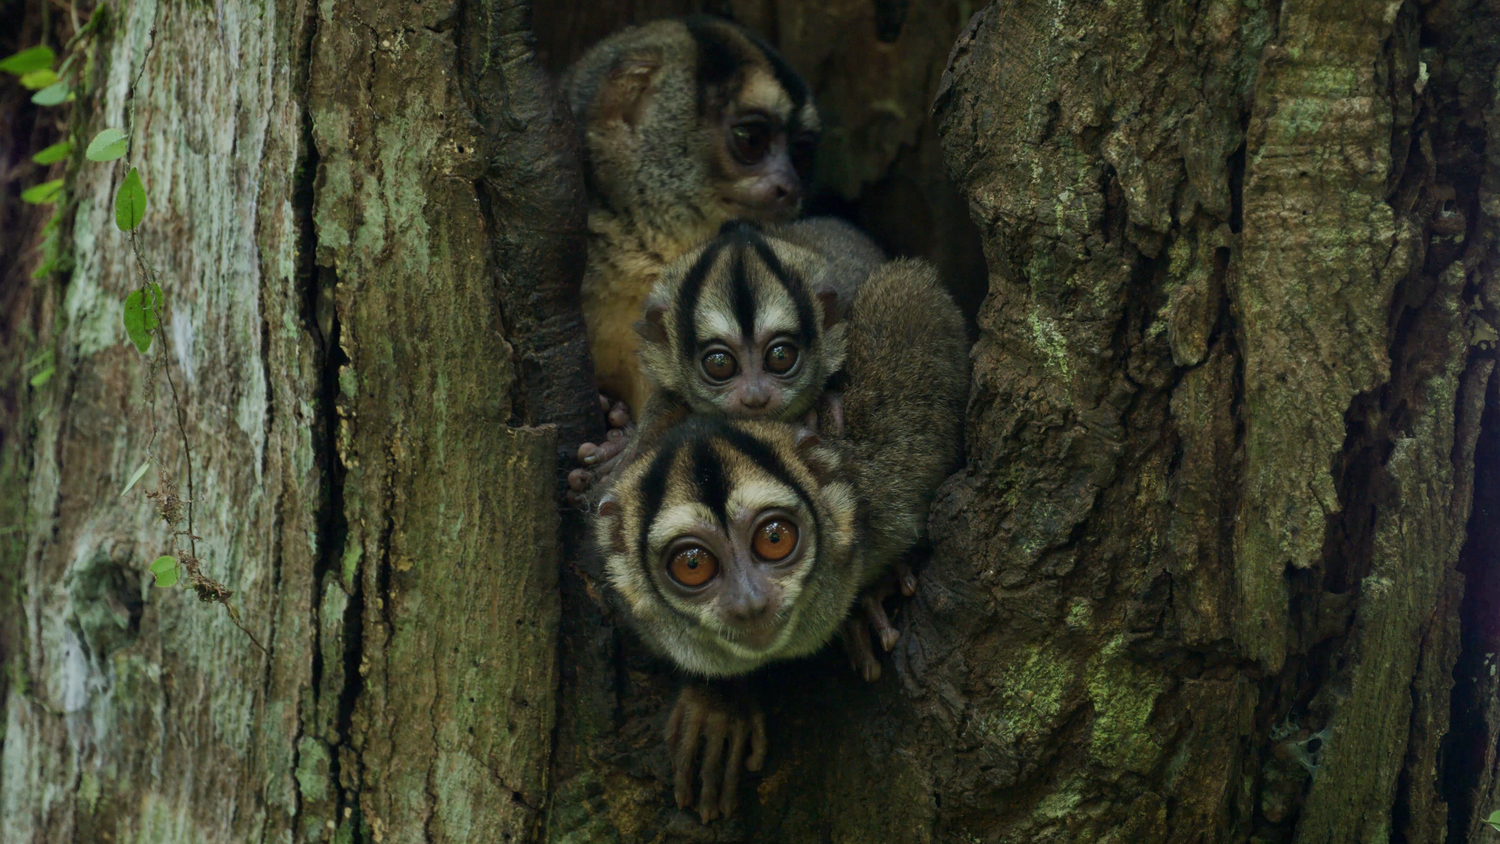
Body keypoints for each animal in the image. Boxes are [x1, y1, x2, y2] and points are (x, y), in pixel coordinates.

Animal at [590, 257, 968, 821]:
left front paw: (874, 597)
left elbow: (908, 295)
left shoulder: (885, 479)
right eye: (693, 565)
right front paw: (718, 705)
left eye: (774, 538)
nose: (748, 603)